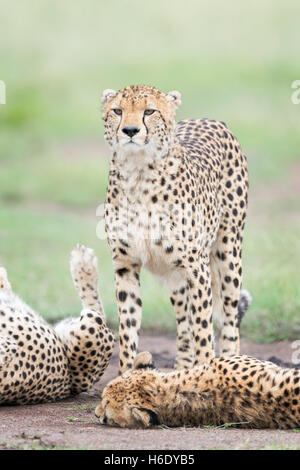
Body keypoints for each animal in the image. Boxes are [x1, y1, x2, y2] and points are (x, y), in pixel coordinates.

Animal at [101, 83, 248, 370]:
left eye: (149, 111)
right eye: (117, 111)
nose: (130, 131)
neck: (138, 174)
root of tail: (209, 119)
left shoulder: (196, 266)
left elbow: (203, 328)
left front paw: (205, 371)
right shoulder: (125, 264)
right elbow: (128, 329)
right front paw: (126, 374)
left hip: (228, 250)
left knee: (229, 316)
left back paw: (228, 359)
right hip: (173, 272)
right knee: (183, 322)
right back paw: (180, 367)